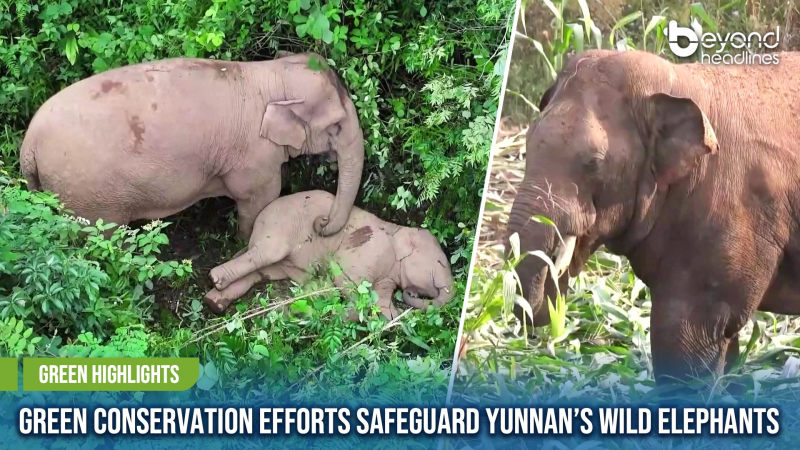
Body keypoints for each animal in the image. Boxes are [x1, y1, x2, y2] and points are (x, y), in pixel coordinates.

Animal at [19, 53, 363, 238]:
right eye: (335, 126)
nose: (321, 222)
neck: (269, 73)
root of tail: (28, 145)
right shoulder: (253, 161)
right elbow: (260, 201)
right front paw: (241, 242)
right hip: (90, 196)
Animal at [204, 190, 454, 319]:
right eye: (440, 262)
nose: (409, 293)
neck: (397, 230)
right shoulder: (369, 250)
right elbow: (349, 282)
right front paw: (339, 314)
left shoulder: (388, 275)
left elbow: (382, 298)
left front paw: (393, 318)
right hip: (278, 228)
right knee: (262, 255)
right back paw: (216, 280)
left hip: (279, 259)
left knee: (262, 272)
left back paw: (213, 302)